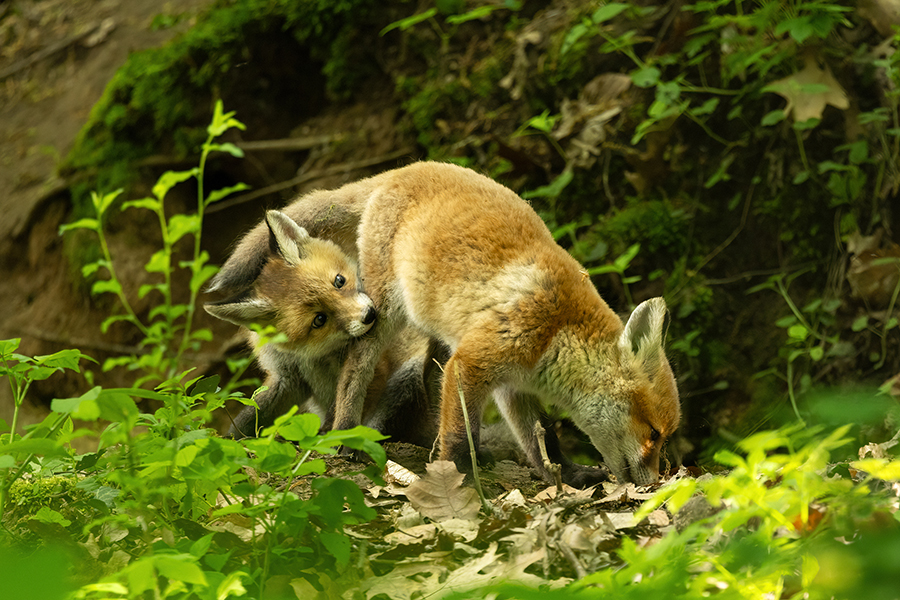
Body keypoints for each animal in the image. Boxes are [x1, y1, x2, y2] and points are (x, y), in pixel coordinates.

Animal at [204, 210, 442, 446]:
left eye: (339, 281)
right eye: (319, 319)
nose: (369, 315)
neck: (315, 355)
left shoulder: (372, 370)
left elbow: (341, 409)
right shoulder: (286, 379)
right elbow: (248, 417)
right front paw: (228, 440)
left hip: (409, 376)